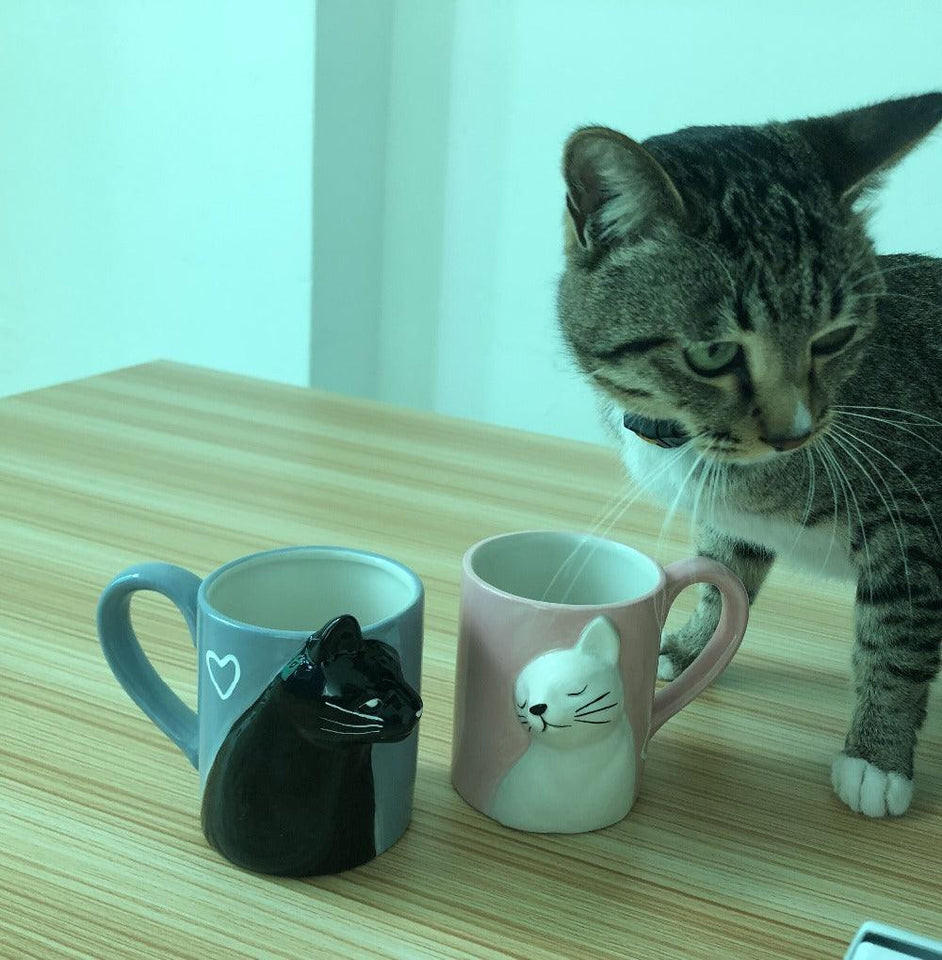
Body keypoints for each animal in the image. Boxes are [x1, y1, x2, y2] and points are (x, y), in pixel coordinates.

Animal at [560, 92, 942, 816]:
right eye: (713, 353)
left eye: (836, 337)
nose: (794, 433)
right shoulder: (730, 516)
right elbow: (721, 577)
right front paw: (689, 647)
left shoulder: (917, 509)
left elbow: (894, 634)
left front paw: (877, 756)